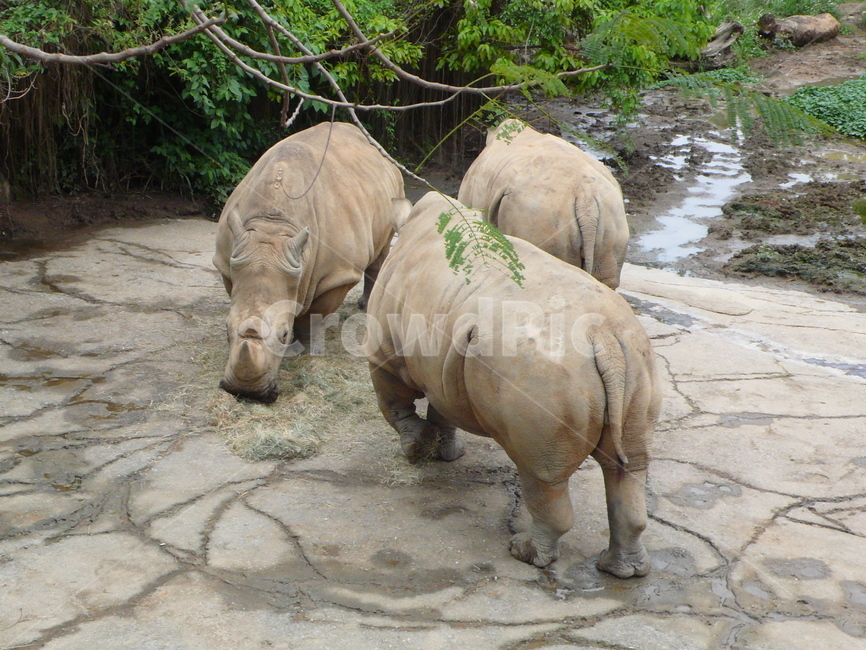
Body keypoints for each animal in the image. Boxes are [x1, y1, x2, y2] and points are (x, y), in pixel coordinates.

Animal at [214, 122, 404, 403]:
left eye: (283, 335)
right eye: (225, 330)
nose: (246, 393)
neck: (274, 227)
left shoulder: (336, 275)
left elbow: (314, 314)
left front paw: (303, 349)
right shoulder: (229, 261)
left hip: (394, 188)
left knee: (382, 246)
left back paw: (365, 308)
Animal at [364, 192, 660, 577]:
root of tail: (602, 338)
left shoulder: (384, 351)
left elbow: (395, 404)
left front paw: (415, 451)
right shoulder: (444, 358)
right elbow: (442, 408)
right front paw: (447, 454)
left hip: (543, 374)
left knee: (541, 474)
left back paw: (525, 552)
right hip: (636, 360)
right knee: (630, 466)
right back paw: (621, 569)